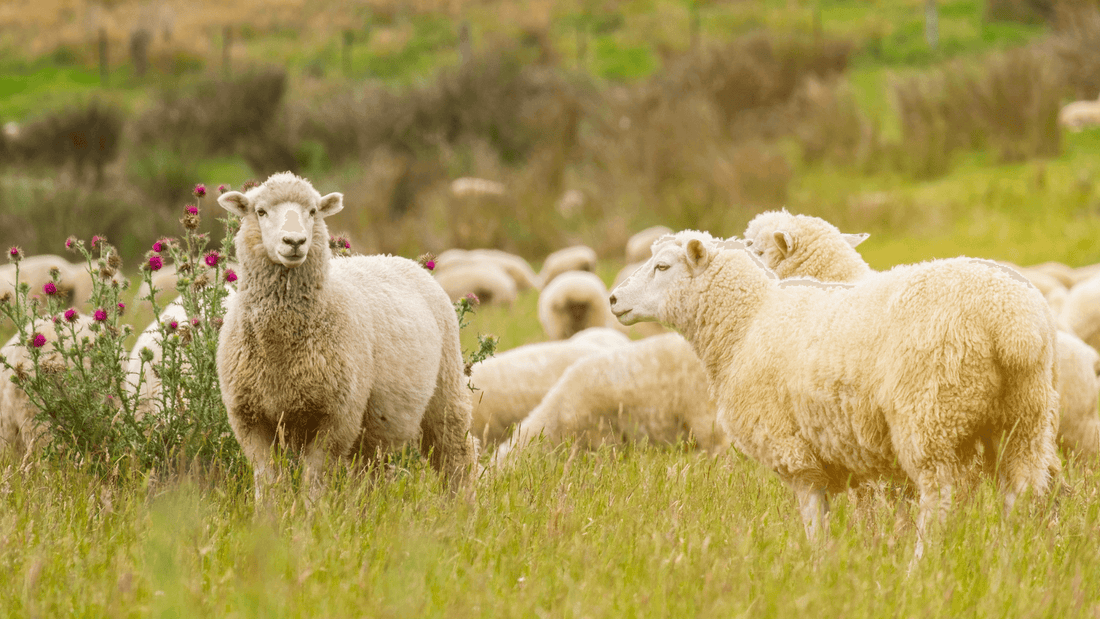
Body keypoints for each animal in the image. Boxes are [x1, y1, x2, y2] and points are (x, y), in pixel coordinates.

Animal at [216, 172, 479, 501]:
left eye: (313, 211)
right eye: (260, 211)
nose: (294, 242)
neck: (281, 350)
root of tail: (397, 258)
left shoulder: (337, 417)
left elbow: (314, 479)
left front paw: (310, 512)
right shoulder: (249, 418)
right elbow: (268, 481)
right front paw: (269, 515)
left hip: (445, 389)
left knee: (455, 454)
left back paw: (461, 504)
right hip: (375, 425)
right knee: (372, 471)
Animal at [609, 231, 1060, 559]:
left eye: (662, 266)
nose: (613, 299)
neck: (746, 323)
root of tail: (1012, 323)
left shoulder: (792, 449)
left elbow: (813, 517)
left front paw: (818, 566)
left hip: (930, 413)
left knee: (939, 498)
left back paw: (919, 567)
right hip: (1025, 417)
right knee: (1020, 494)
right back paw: (1010, 561)